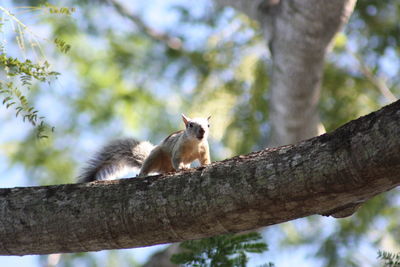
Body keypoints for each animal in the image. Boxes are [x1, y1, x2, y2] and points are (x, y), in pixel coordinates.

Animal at [76, 114, 211, 183]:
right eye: (190, 125)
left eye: (208, 125)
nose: (202, 130)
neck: (195, 143)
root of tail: (163, 168)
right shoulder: (178, 148)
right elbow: (176, 159)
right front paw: (181, 167)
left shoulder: (204, 149)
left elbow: (204, 159)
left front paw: (207, 164)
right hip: (155, 156)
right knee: (148, 166)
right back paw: (141, 174)